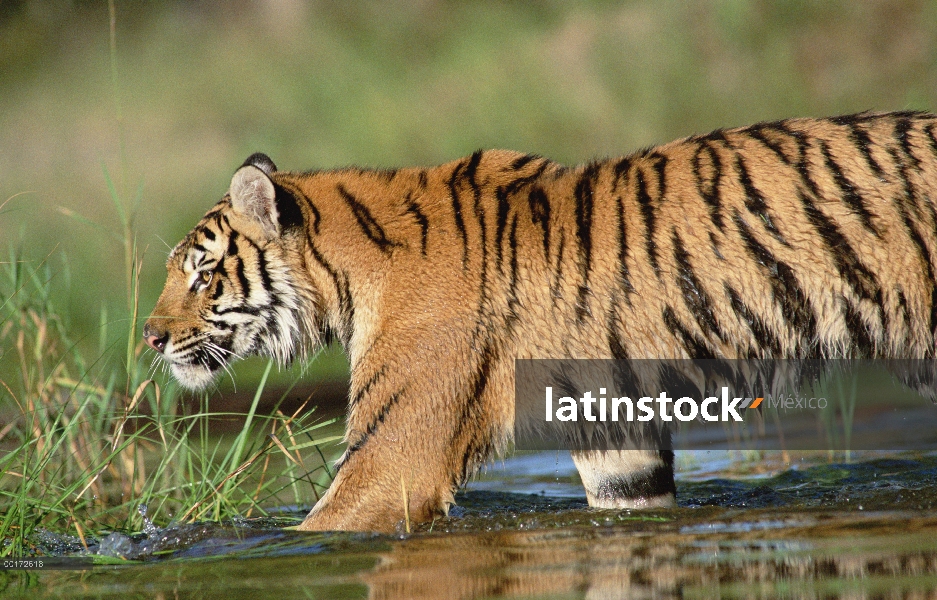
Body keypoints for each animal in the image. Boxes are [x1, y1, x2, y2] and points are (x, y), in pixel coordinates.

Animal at [143, 110, 936, 532]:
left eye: (201, 274)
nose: (151, 336)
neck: (348, 277)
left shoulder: (394, 459)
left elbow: (320, 525)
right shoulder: (616, 437)